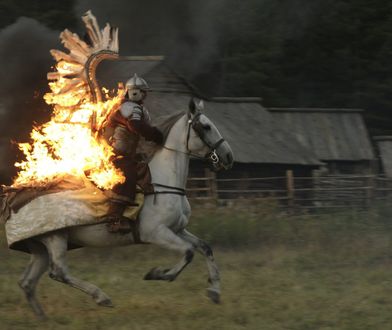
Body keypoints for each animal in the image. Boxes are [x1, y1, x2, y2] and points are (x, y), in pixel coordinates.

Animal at [16, 100, 233, 318]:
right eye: (205, 126)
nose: (228, 156)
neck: (163, 184)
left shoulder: (177, 230)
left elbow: (205, 247)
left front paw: (214, 291)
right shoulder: (156, 233)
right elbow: (188, 252)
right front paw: (157, 274)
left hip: (40, 248)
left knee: (27, 282)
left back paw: (42, 317)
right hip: (56, 238)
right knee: (58, 272)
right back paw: (101, 297)